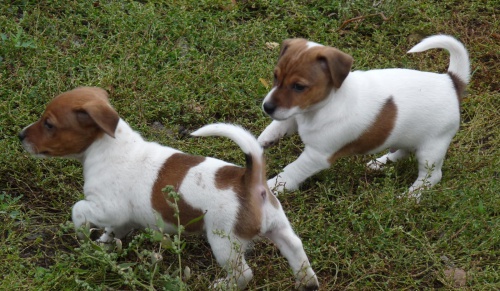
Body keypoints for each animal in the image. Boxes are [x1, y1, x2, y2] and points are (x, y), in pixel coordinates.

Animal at [20, 87, 320, 291]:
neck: (109, 146)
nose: (20, 135)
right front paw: (103, 245)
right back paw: (307, 281)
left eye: (49, 124)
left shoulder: (106, 208)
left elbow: (79, 209)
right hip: (278, 226)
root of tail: (250, 179)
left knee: (244, 274)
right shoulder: (121, 219)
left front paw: (82, 236)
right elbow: (112, 233)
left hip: (224, 243)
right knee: (295, 247)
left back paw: (222, 285)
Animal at [258, 33, 468, 198]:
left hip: (431, 149)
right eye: (275, 76)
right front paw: (262, 140)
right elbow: (280, 125)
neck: (324, 106)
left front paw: (273, 187)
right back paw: (379, 163)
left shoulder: (317, 155)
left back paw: (409, 197)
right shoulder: (295, 113)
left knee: (431, 177)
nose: (267, 107)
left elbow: (292, 171)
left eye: (299, 86)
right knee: (403, 151)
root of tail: (450, 81)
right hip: (407, 136)